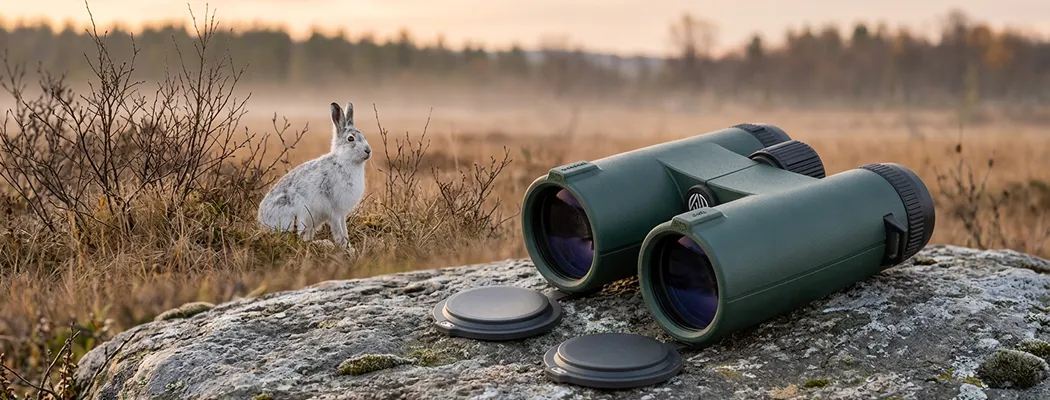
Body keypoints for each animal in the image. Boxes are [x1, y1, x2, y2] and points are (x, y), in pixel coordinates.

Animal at [257, 101, 372, 249]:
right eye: (350, 139)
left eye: (364, 136)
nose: (368, 150)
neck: (344, 160)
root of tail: (262, 223)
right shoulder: (334, 210)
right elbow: (338, 230)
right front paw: (345, 248)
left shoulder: (341, 213)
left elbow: (344, 229)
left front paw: (349, 247)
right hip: (299, 216)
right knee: (297, 240)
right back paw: (324, 244)